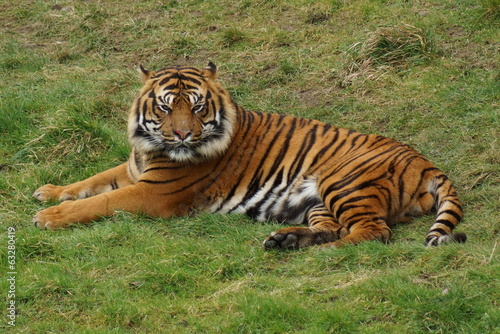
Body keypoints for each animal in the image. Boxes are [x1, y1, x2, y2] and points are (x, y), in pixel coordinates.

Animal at [33, 62, 466, 249]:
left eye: (197, 106)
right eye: (166, 106)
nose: (182, 134)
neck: (151, 146)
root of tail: (426, 162)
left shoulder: (153, 193)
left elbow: (100, 201)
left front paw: (47, 217)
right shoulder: (133, 169)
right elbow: (91, 182)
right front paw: (48, 192)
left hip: (343, 181)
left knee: (373, 233)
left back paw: (318, 253)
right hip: (318, 200)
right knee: (337, 227)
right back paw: (286, 240)